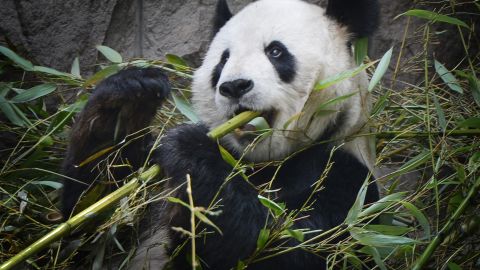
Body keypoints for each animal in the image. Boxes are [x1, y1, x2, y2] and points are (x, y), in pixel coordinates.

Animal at [62, 0, 380, 268]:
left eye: (275, 51)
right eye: (223, 60)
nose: (235, 86)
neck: (262, 162)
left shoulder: (347, 182)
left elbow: (284, 245)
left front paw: (189, 146)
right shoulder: (150, 178)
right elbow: (89, 230)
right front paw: (127, 99)